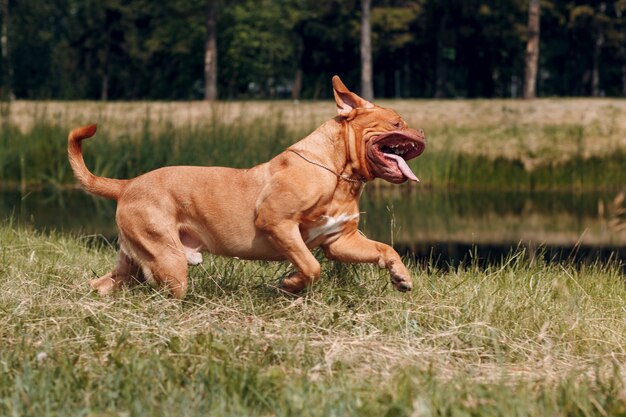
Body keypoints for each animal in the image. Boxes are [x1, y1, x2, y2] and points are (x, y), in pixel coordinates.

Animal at [70, 76, 426, 298]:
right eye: (397, 123)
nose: (422, 132)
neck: (339, 174)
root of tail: (127, 184)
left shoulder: (341, 241)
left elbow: (384, 249)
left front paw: (400, 275)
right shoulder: (278, 223)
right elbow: (310, 266)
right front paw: (290, 284)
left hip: (135, 258)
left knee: (104, 283)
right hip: (168, 259)